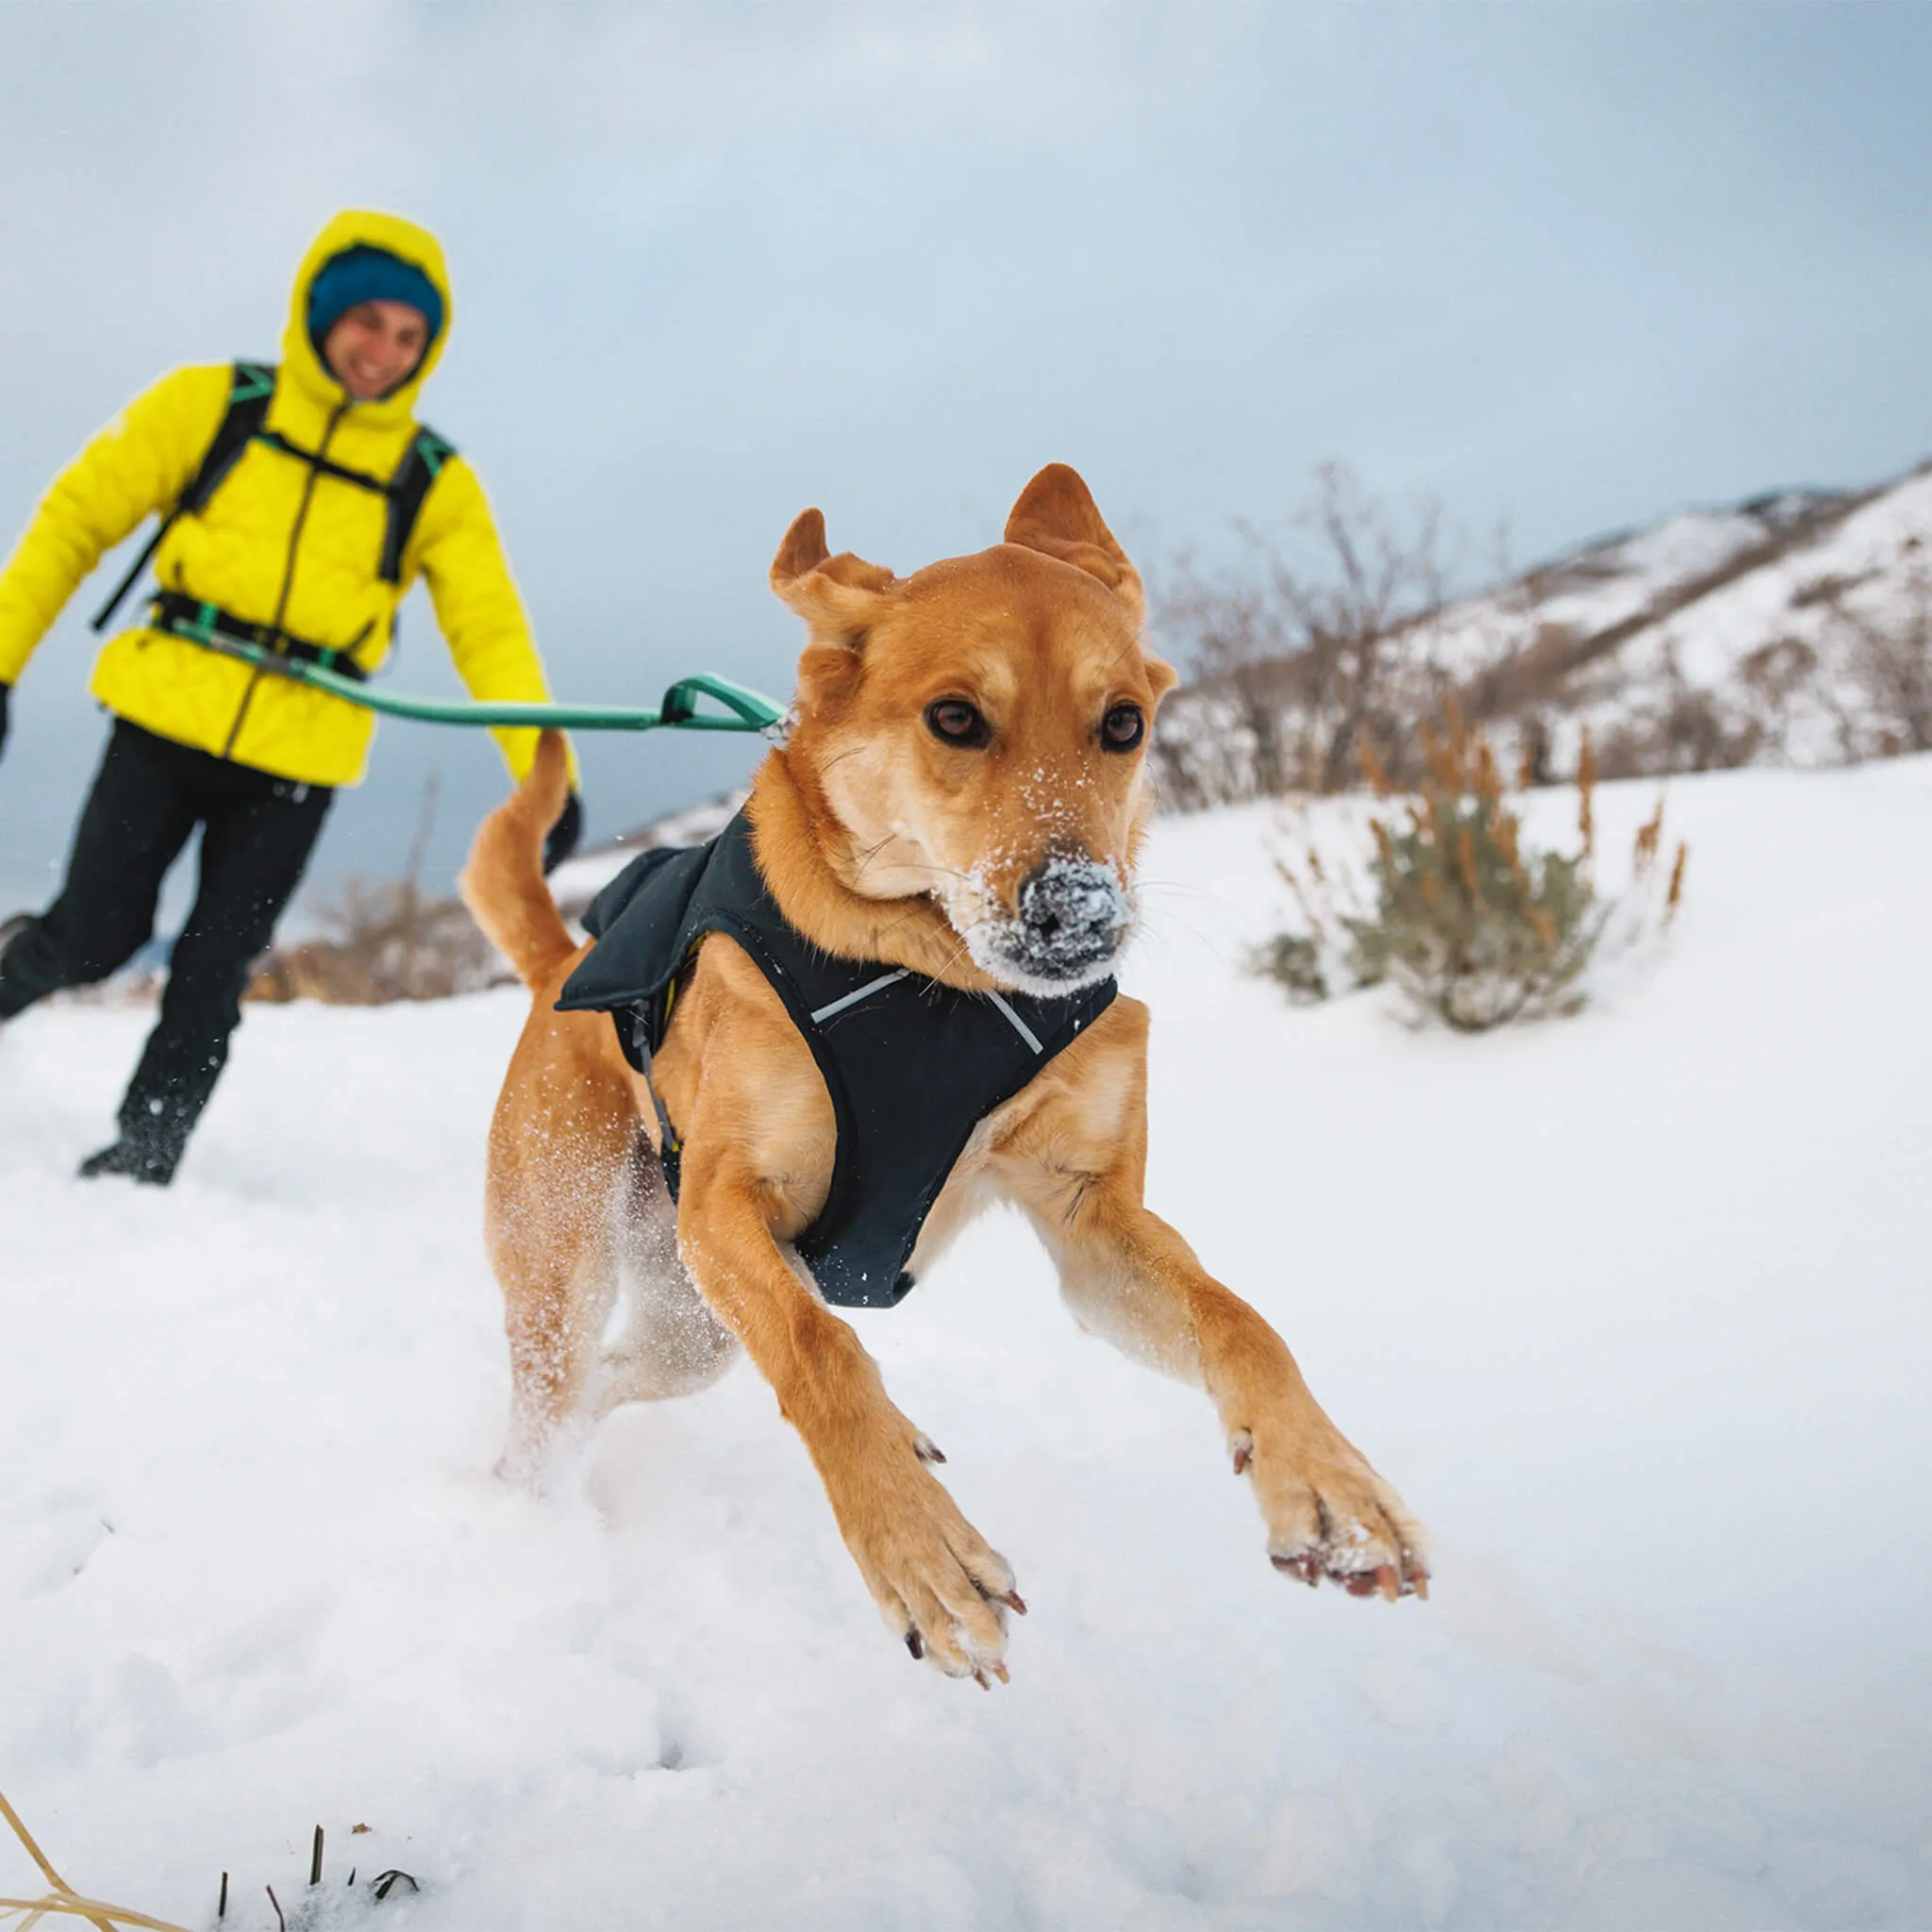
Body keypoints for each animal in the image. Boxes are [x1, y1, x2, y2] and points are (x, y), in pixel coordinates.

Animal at [459, 459, 1429, 1684]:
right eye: (954, 718)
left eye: (1122, 722)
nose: (1079, 915)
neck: (931, 981)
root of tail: (560, 966)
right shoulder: (728, 1201)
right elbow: (822, 1350)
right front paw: (917, 1549)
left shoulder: (1090, 1223)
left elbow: (1239, 1318)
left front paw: (1329, 1483)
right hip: (576, 1263)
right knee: (559, 1403)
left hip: (689, 1324)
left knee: (619, 1379)